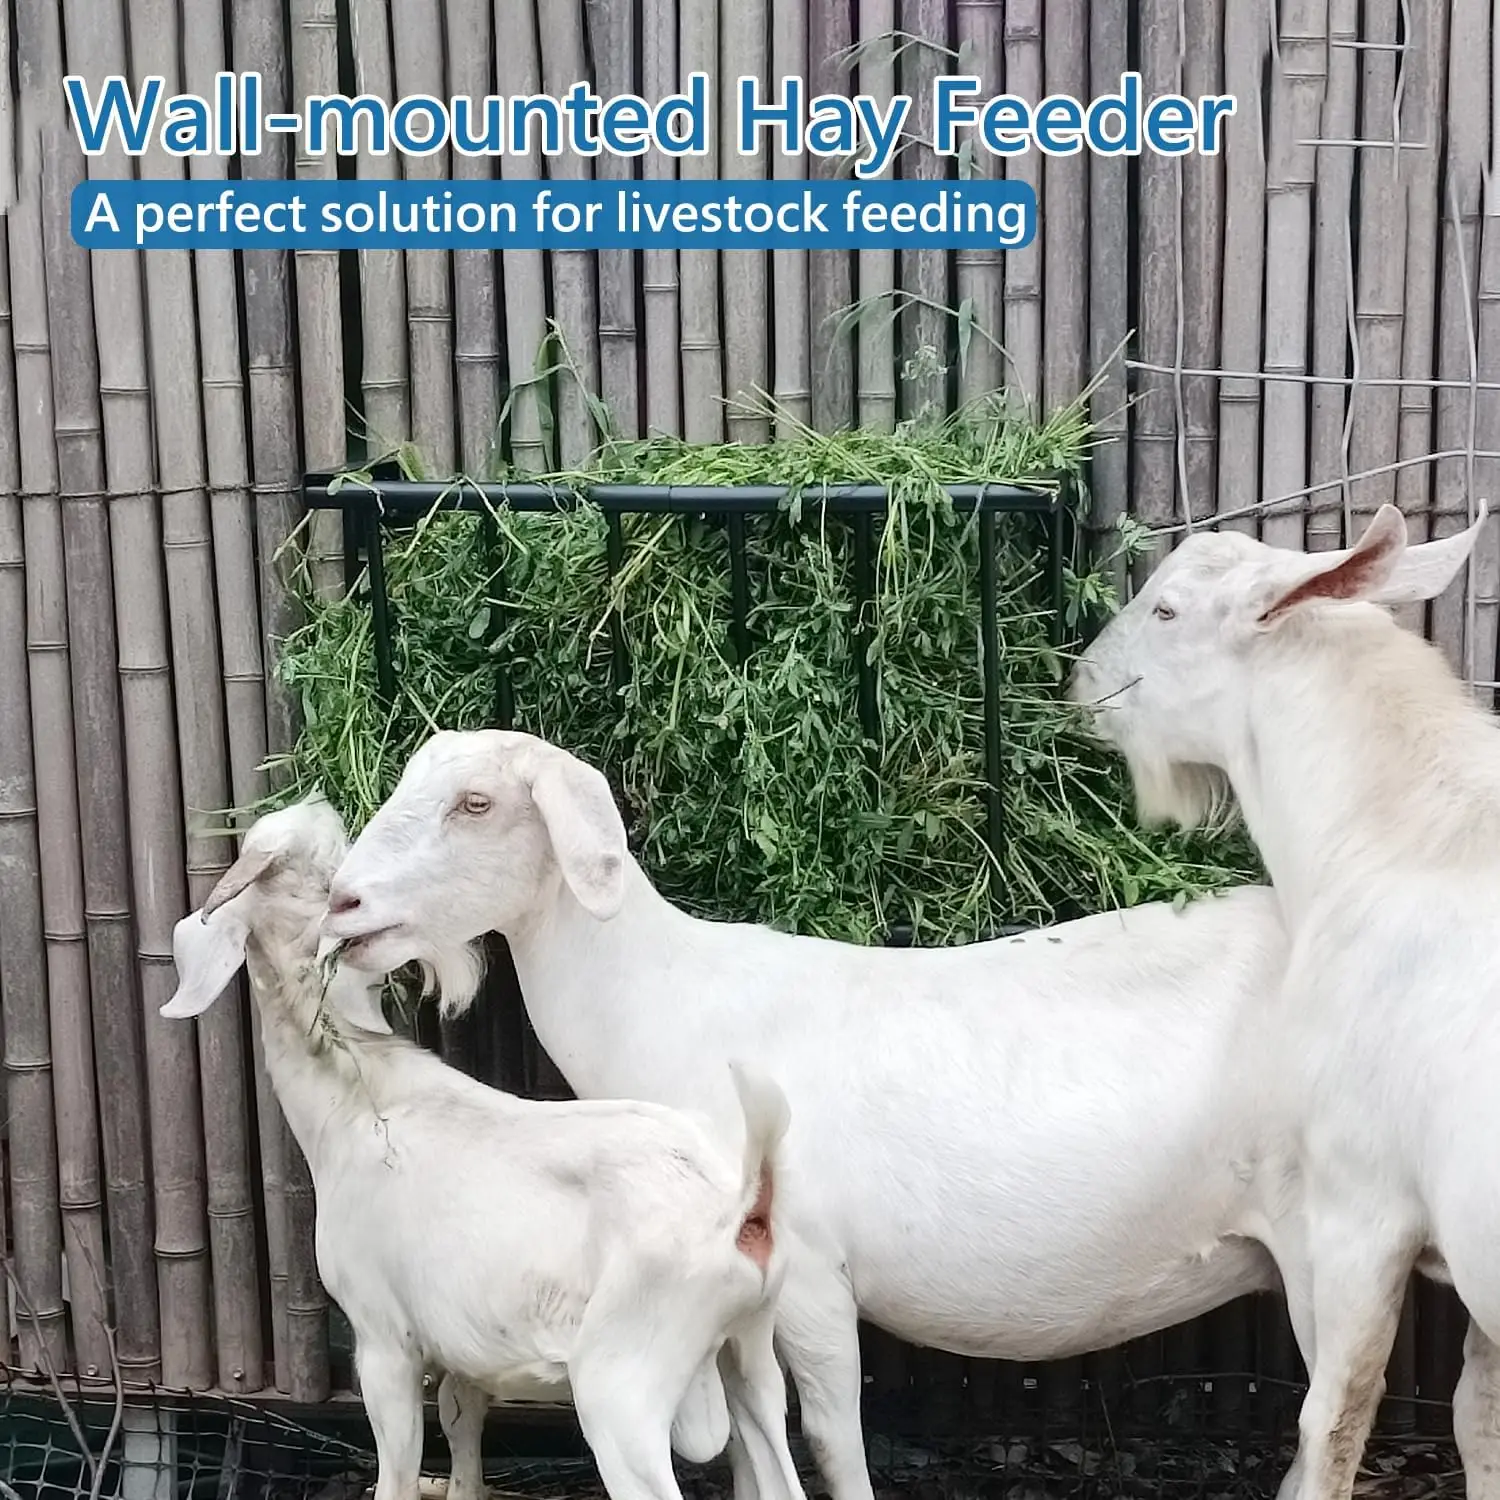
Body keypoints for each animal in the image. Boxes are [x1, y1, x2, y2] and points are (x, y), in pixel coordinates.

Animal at [162, 794, 806, 1500]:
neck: (359, 1093)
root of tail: (743, 1204)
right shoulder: (463, 1350)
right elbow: (460, 1421)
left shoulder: (383, 1338)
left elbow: (397, 1468)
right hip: (753, 1349)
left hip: (623, 1383)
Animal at [1067, 501, 1500, 1500]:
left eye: (1168, 610)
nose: (1078, 686)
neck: (1406, 834)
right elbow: (1479, 1421)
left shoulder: (1359, 1205)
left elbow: (1331, 1423)